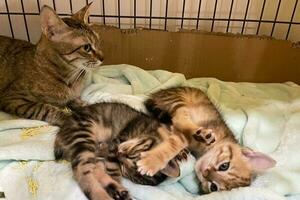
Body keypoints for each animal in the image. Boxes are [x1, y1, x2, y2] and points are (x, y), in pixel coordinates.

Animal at [54, 102, 185, 199]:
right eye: (133, 155)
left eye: (125, 170)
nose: (119, 154)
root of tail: (60, 133)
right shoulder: (118, 140)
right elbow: (112, 167)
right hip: (82, 137)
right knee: (82, 173)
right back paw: (104, 195)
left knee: (93, 168)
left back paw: (117, 191)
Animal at [137, 86, 276, 193]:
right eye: (224, 166)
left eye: (213, 187)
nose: (204, 173)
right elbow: (176, 142)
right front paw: (151, 161)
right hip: (180, 99)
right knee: (180, 116)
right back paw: (200, 133)